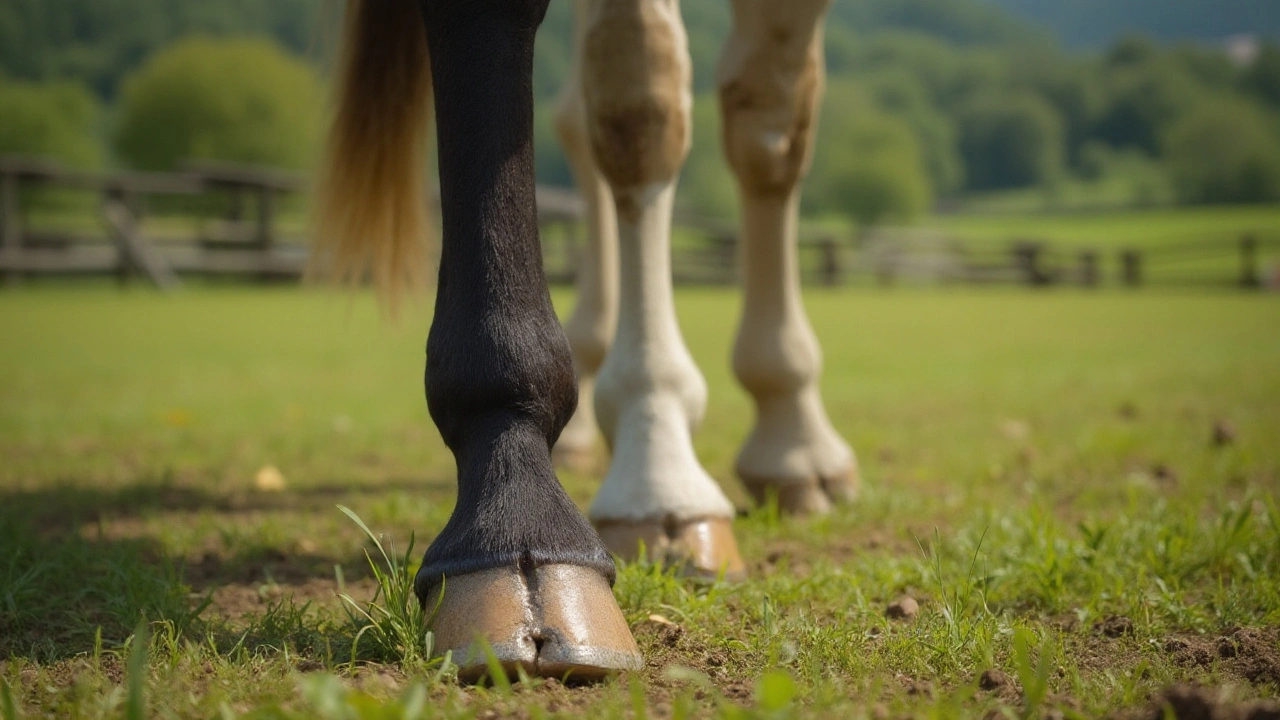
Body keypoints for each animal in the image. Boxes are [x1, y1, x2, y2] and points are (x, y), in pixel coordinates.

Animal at [309, 0, 855, 676]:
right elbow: (635, 106)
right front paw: (532, 515)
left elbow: (758, 118)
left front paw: (722, 448)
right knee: (584, 120)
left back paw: (794, 446)